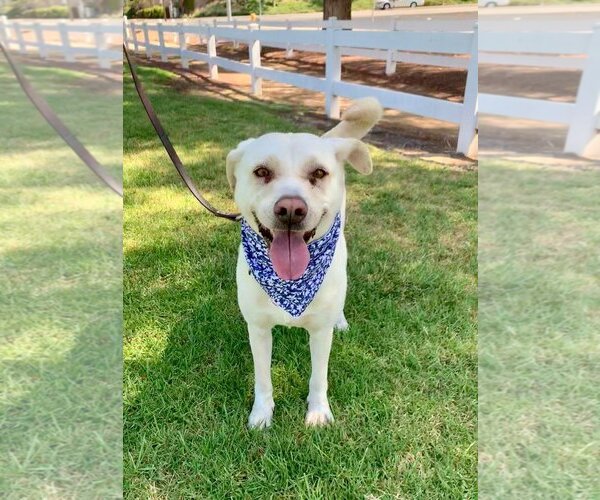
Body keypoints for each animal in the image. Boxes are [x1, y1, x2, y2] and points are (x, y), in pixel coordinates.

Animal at [227, 98, 382, 430]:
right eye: (262, 171)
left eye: (319, 173)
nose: (290, 209)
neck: (290, 285)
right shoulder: (258, 329)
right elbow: (263, 380)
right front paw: (262, 414)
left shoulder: (320, 333)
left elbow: (318, 378)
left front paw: (318, 412)